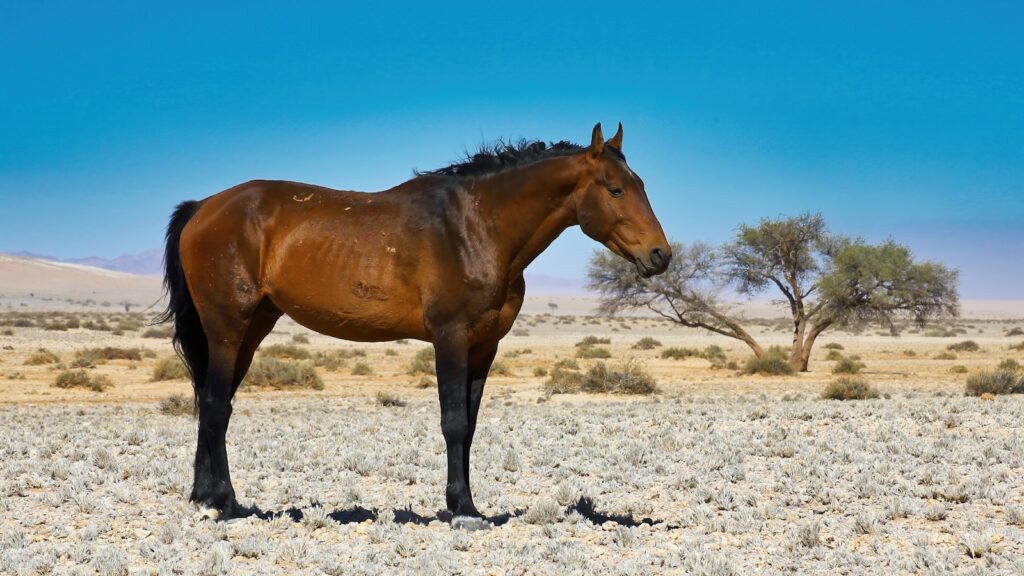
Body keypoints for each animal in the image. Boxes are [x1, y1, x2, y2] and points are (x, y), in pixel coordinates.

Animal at [158, 122, 671, 528]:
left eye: (642, 184)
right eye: (615, 189)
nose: (660, 255)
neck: (476, 226)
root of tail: (204, 206)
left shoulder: (484, 346)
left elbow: (471, 425)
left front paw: (467, 504)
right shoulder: (450, 338)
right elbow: (454, 423)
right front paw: (463, 509)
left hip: (252, 329)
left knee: (211, 401)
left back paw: (203, 497)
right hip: (228, 327)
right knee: (216, 404)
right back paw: (225, 502)